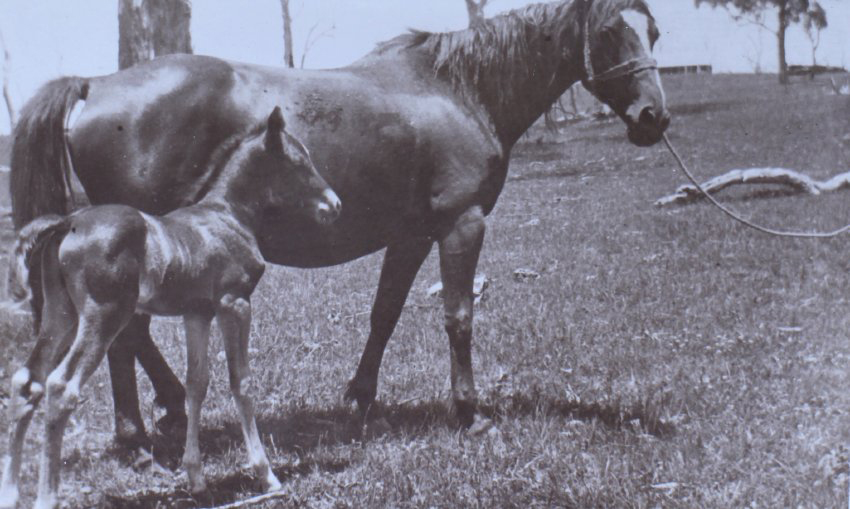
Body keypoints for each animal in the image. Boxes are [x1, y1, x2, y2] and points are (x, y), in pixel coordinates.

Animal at [0, 107, 341, 509]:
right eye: (299, 161)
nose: (334, 204)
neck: (229, 216)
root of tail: (66, 222)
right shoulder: (235, 303)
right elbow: (240, 382)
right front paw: (266, 475)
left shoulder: (197, 313)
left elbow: (197, 383)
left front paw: (197, 479)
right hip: (103, 316)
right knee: (60, 387)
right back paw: (46, 496)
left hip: (60, 314)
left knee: (27, 380)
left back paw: (11, 492)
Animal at [9, 0, 670, 448]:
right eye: (609, 31)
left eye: (655, 30)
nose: (653, 118)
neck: (456, 89)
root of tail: (95, 85)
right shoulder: (461, 225)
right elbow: (458, 317)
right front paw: (470, 413)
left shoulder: (410, 235)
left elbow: (385, 313)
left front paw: (360, 399)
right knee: (124, 337)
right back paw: (139, 435)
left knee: (131, 338)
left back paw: (163, 413)